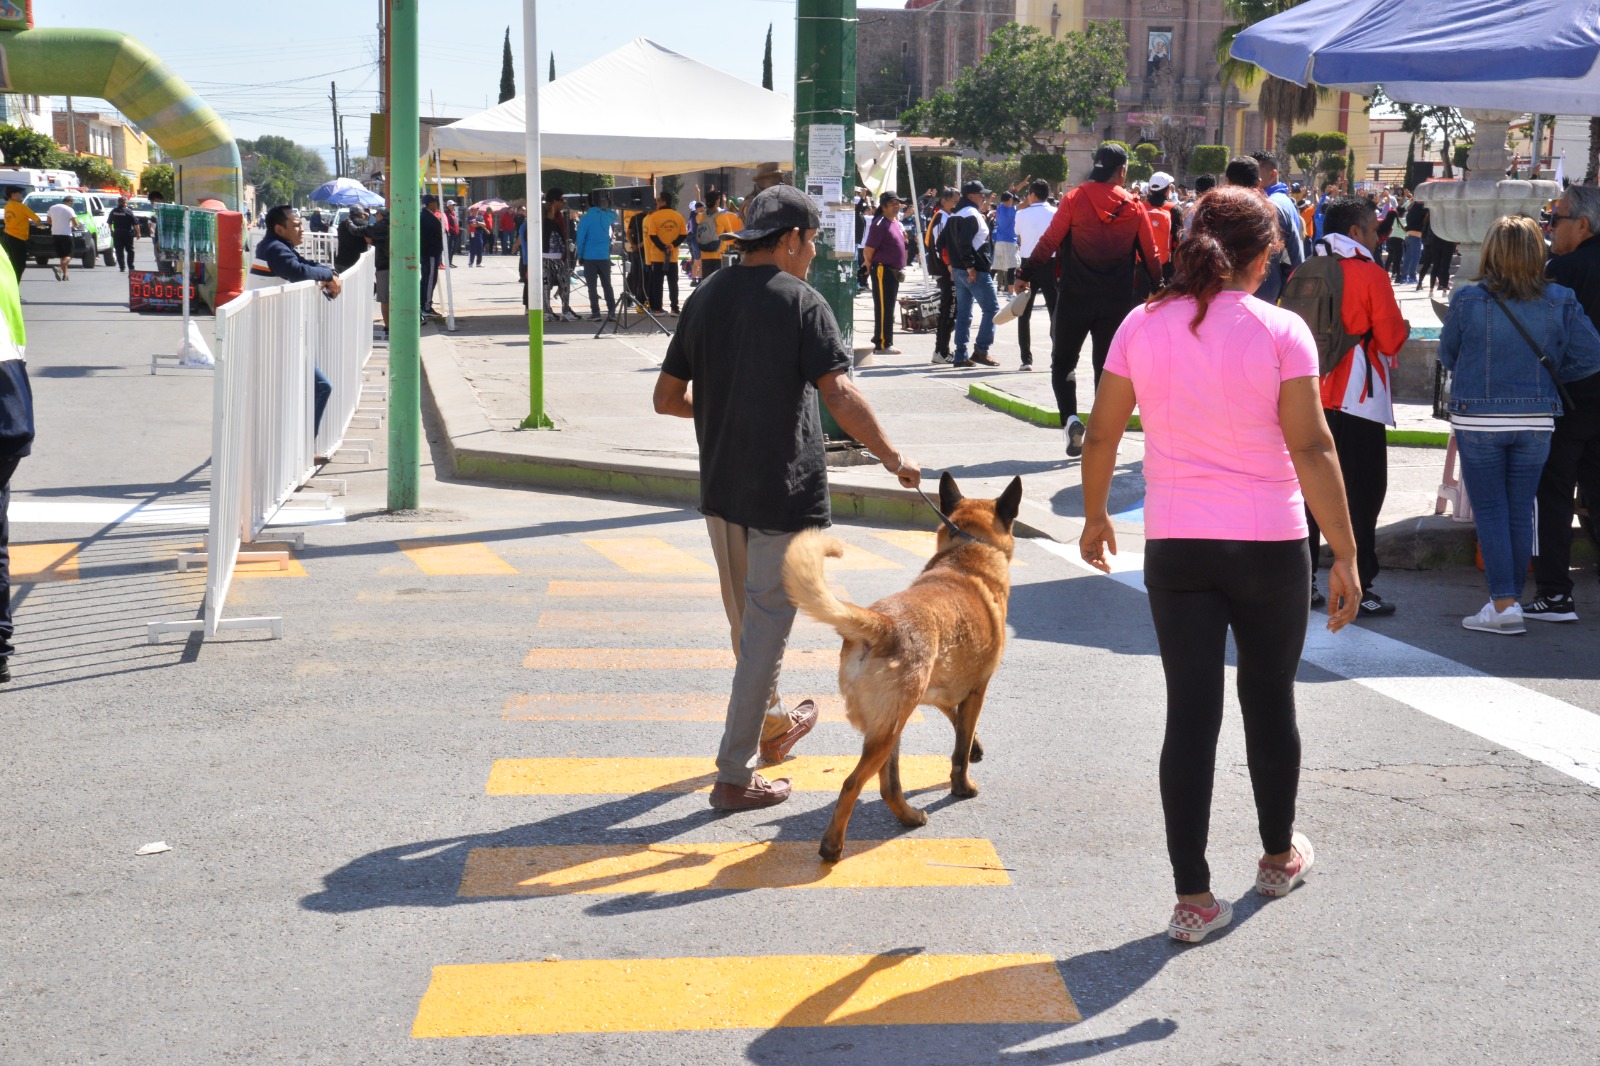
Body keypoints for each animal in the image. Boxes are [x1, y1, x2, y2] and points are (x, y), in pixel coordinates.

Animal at [780, 470, 1017, 857]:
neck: (967, 551)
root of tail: (883, 622)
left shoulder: (941, 689)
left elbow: (958, 722)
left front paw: (976, 747)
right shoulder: (977, 690)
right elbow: (959, 748)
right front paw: (963, 785)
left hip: (891, 725)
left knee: (888, 785)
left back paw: (907, 816)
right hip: (890, 729)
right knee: (853, 783)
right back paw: (833, 845)